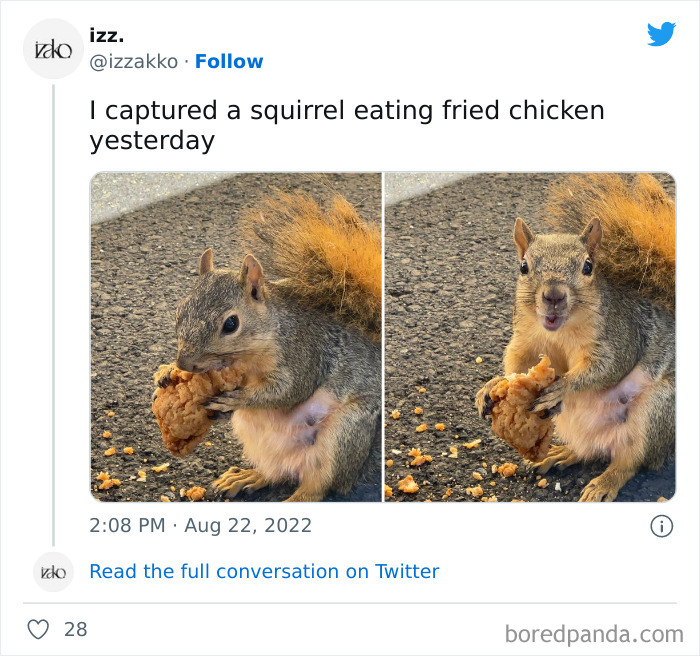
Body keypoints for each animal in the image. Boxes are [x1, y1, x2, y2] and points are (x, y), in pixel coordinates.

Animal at [157, 192, 382, 502]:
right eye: (179, 311)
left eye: (231, 324)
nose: (184, 364)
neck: (248, 358)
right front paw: (166, 372)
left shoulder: (304, 350)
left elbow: (290, 390)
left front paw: (239, 399)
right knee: (277, 473)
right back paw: (248, 476)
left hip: (346, 432)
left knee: (316, 487)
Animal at [475, 173, 675, 502]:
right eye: (523, 266)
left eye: (587, 267)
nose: (554, 295)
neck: (560, 331)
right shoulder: (524, 338)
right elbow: (516, 362)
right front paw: (493, 384)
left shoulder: (619, 336)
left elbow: (608, 368)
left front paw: (563, 386)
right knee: (589, 451)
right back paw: (561, 454)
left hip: (655, 413)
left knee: (629, 462)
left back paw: (603, 484)